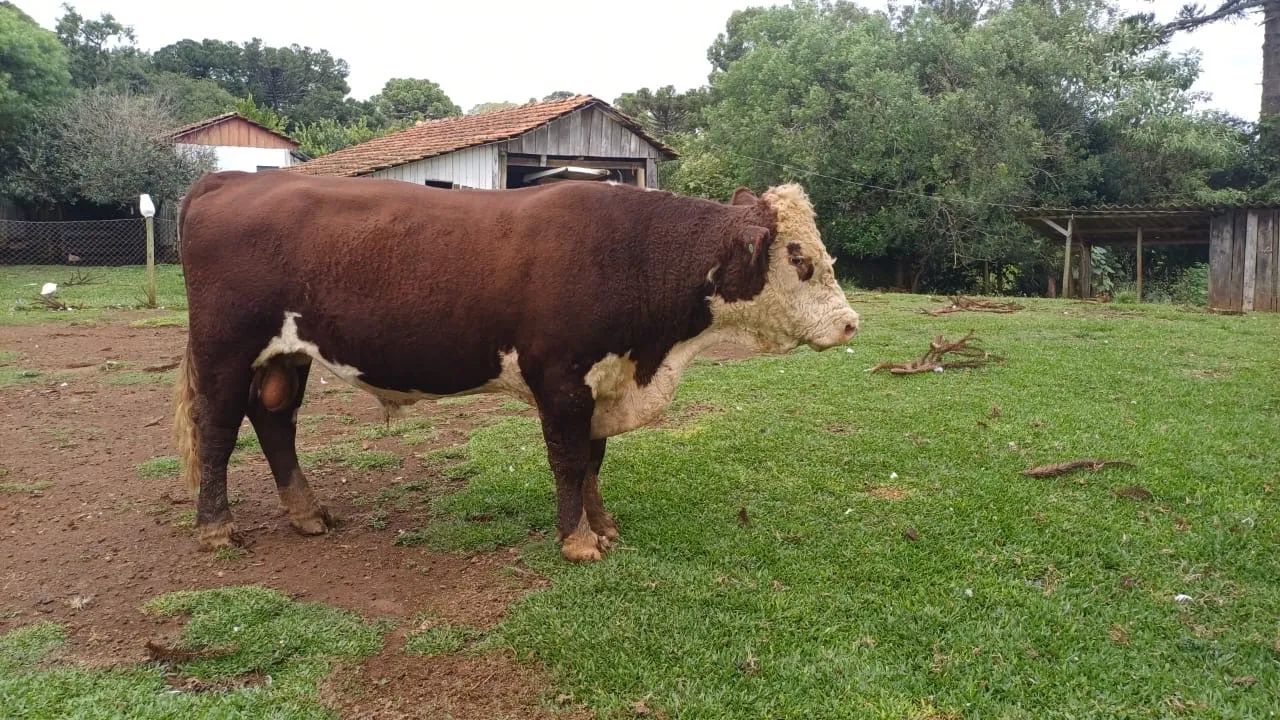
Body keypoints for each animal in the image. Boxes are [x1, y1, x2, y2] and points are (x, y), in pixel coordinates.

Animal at [171, 171, 860, 563]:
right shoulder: (562, 379)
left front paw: (603, 526)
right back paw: (215, 529)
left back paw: (307, 514)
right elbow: (569, 459)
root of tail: (227, 180)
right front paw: (577, 541)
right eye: (798, 256)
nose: (851, 322)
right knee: (219, 429)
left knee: (274, 419)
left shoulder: (601, 382)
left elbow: (593, 460)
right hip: (225, 348)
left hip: (285, 354)